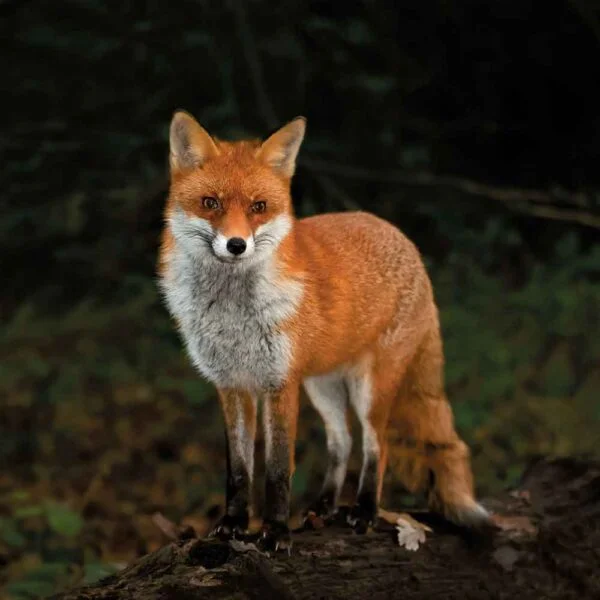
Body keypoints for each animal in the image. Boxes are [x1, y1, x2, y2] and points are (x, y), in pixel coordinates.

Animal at [158, 110, 488, 552]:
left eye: (259, 207)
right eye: (211, 203)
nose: (236, 245)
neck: (233, 314)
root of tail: (400, 236)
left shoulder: (280, 384)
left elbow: (278, 468)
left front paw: (276, 532)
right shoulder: (233, 386)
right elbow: (239, 469)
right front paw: (233, 525)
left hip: (370, 389)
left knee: (376, 445)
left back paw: (364, 511)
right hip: (323, 386)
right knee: (341, 442)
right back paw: (325, 506)